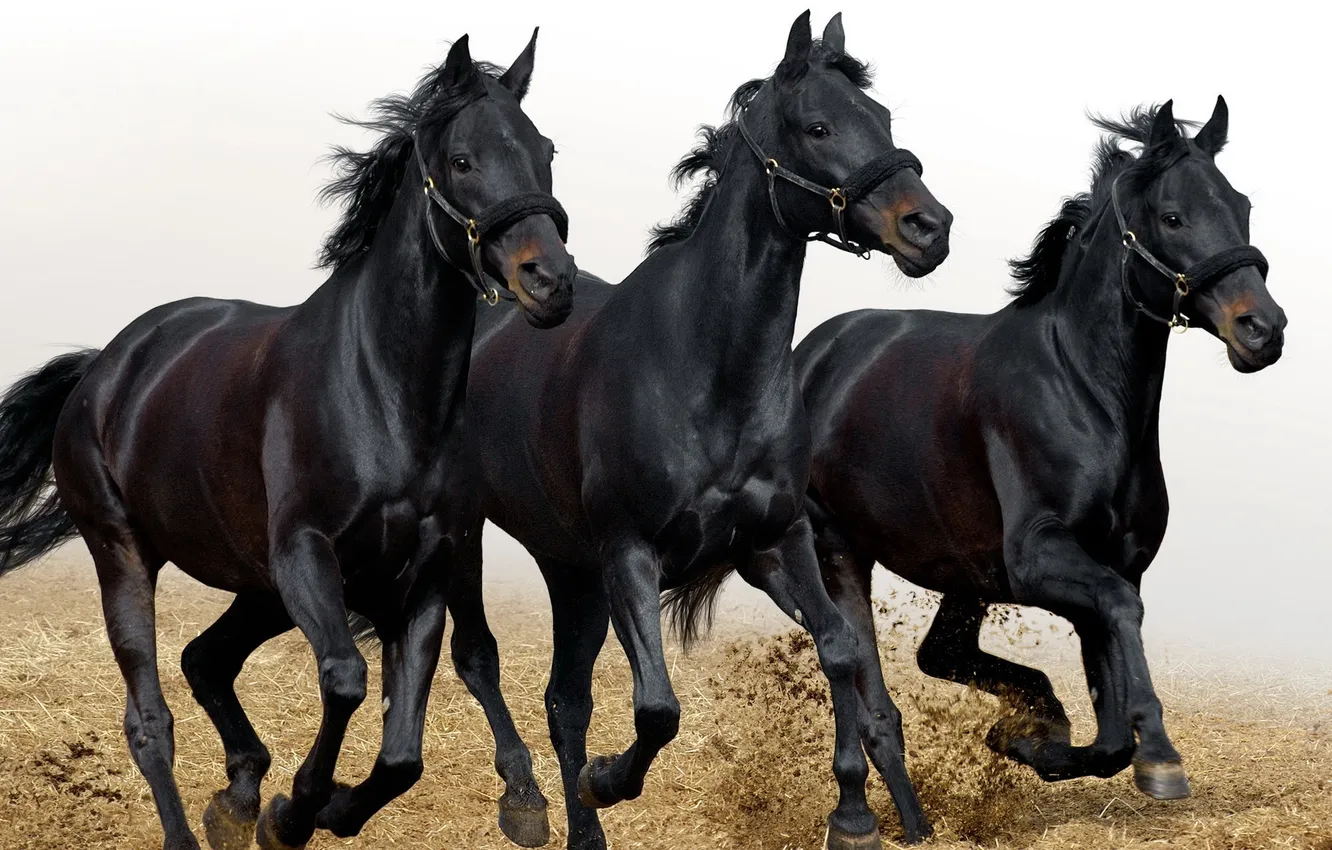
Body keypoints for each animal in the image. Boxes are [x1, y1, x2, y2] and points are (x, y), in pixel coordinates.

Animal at [0, 31, 576, 850]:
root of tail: (106, 366)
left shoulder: (424, 572)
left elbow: (403, 752)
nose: (551, 282)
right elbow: (345, 678)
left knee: (205, 659)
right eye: (463, 160)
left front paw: (320, 807)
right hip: (126, 556)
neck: (382, 393)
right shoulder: (306, 554)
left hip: (257, 583)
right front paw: (296, 809)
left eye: (545, 150)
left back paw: (235, 801)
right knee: (150, 720)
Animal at [424, 12, 952, 850]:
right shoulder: (630, 557)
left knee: (564, 700)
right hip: (472, 531)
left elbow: (838, 649)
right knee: (481, 658)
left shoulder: (776, 541)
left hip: (571, 570)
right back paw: (528, 802)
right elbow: (657, 709)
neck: (707, 373)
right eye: (818, 126)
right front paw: (608, 779)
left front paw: (853, 815)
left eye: (884, 118)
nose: (930, 228)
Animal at [783, 98, 1285, 810]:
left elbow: (1111, 729)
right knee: (875, 696)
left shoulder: (1110, 564)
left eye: (1241, 206)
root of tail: (808, 357)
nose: (1263, 329)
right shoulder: (1039, 558)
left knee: (940, 654)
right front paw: (1160, 757)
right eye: (1172, 216)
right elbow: (1121, 622)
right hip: (839, 549)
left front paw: (1028, 741)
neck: (1082, 391)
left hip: (962, 573)